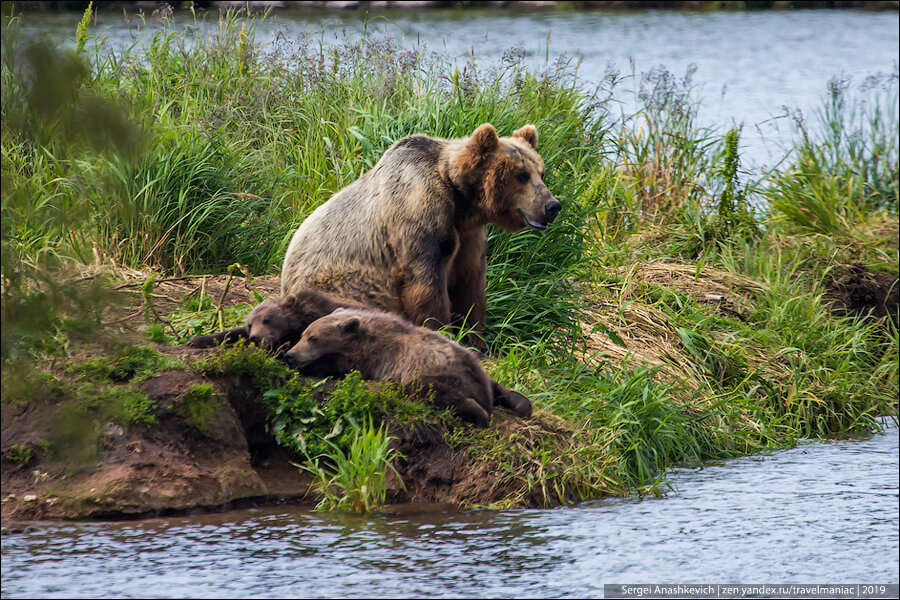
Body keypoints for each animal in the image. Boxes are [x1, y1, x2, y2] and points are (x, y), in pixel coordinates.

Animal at [284, 124, 564, 340]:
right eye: (522, 174)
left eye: (541, 173)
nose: (552, 206)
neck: (462, 201)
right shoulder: (420, 211)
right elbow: (426, 282)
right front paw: (442, 330)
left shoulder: (469, 234)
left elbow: (471, 282)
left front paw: (474, 337)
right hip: (341, 282)